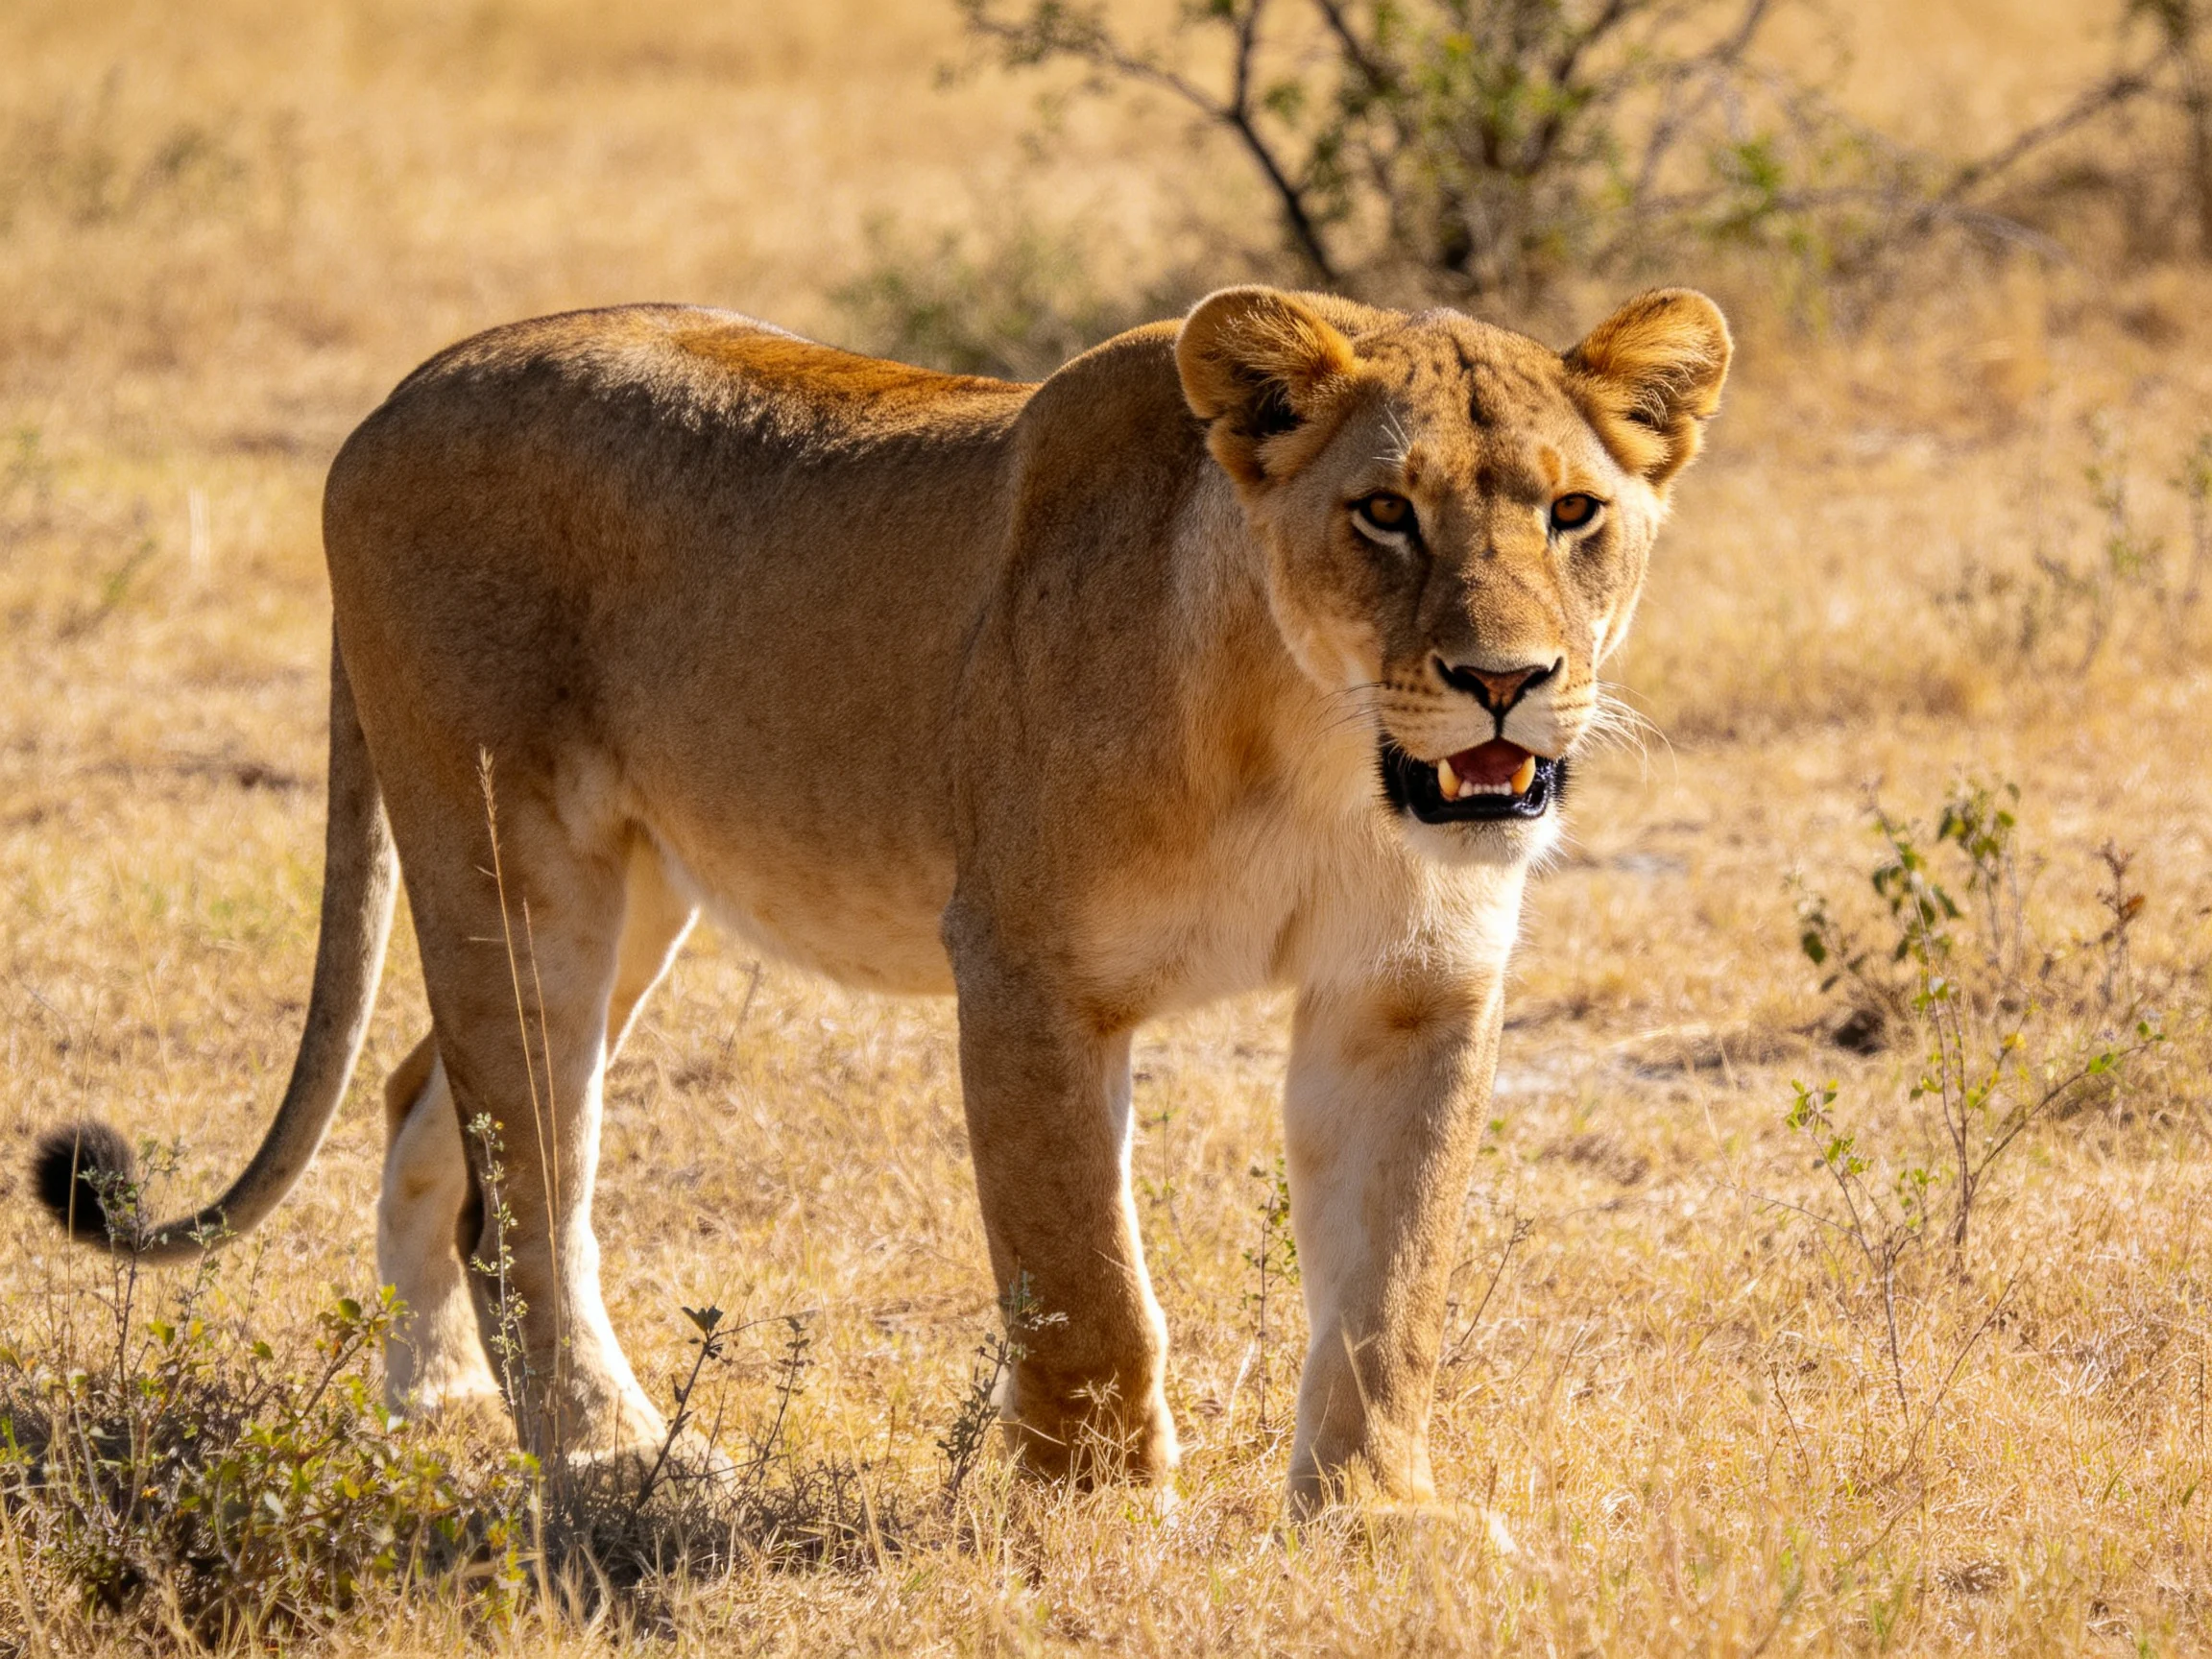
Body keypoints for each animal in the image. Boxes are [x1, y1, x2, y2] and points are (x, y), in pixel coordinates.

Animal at [33, 284, 1729, 1508]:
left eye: (1572, 514)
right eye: (1385, 513)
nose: (1505, 681)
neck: (1318, 750)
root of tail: (397, 395)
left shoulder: (1407, 991)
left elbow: (1390, 1286)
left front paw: (1376, 1521)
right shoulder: (1028, 972)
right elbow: (1086, 1282)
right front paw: (1100, 1520)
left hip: (633, 889)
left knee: (421, 1113)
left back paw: (438, 1404)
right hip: (513, 853)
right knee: (526, 1186)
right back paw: (613, 1456)